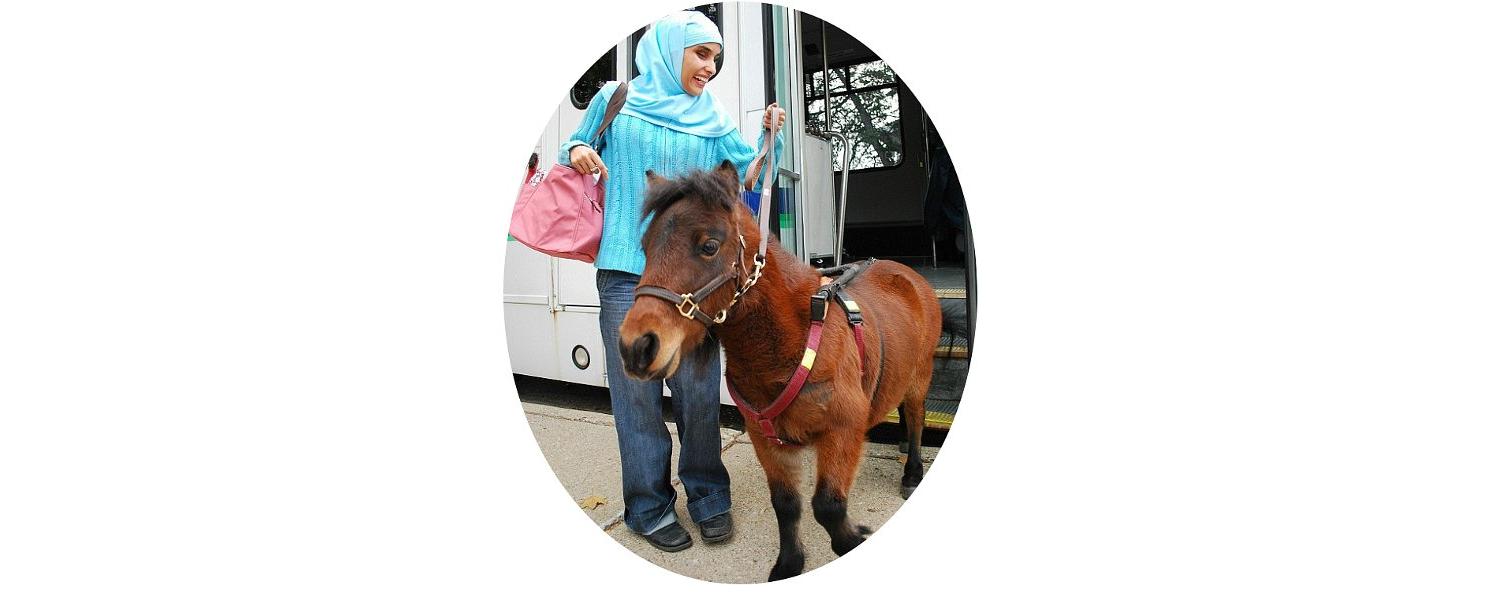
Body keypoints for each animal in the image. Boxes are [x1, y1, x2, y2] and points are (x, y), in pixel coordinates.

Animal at [617, 161, 943, 581]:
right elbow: (787, 506)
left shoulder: (842, 430)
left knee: (917, 418)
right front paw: (789, 564)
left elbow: (828, 506)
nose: (636, 347)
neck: (789, 345)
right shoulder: (767, 440)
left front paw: (853, 540)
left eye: (709, 245)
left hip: (920, 375)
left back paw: (912, 472)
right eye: (645, 248)